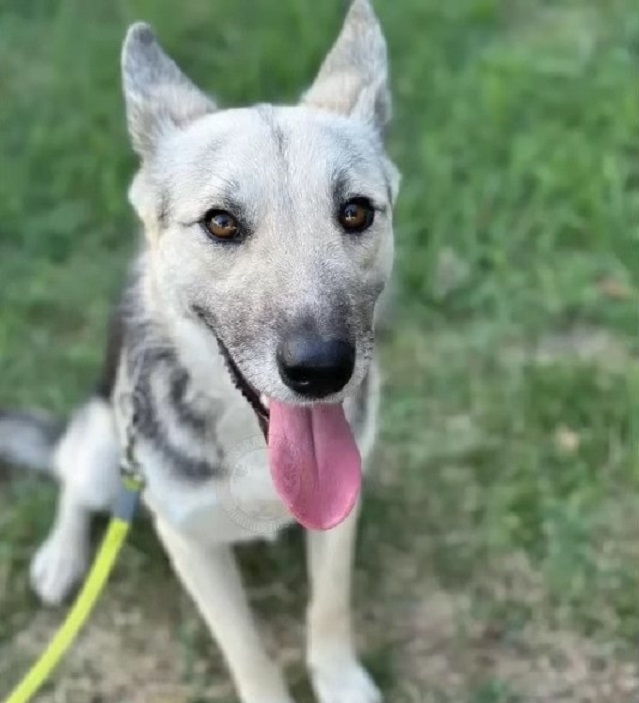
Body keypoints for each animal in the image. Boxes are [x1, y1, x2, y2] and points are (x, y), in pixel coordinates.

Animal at [0, 2, 400, 700]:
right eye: (221, 223)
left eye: (355, 212)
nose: (322, 370)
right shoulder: (189, 544)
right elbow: (246, 650)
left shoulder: (338, 520)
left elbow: (329, 607)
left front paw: (339, 680)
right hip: (105, 447)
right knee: (71, 479)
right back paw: (60, 556)